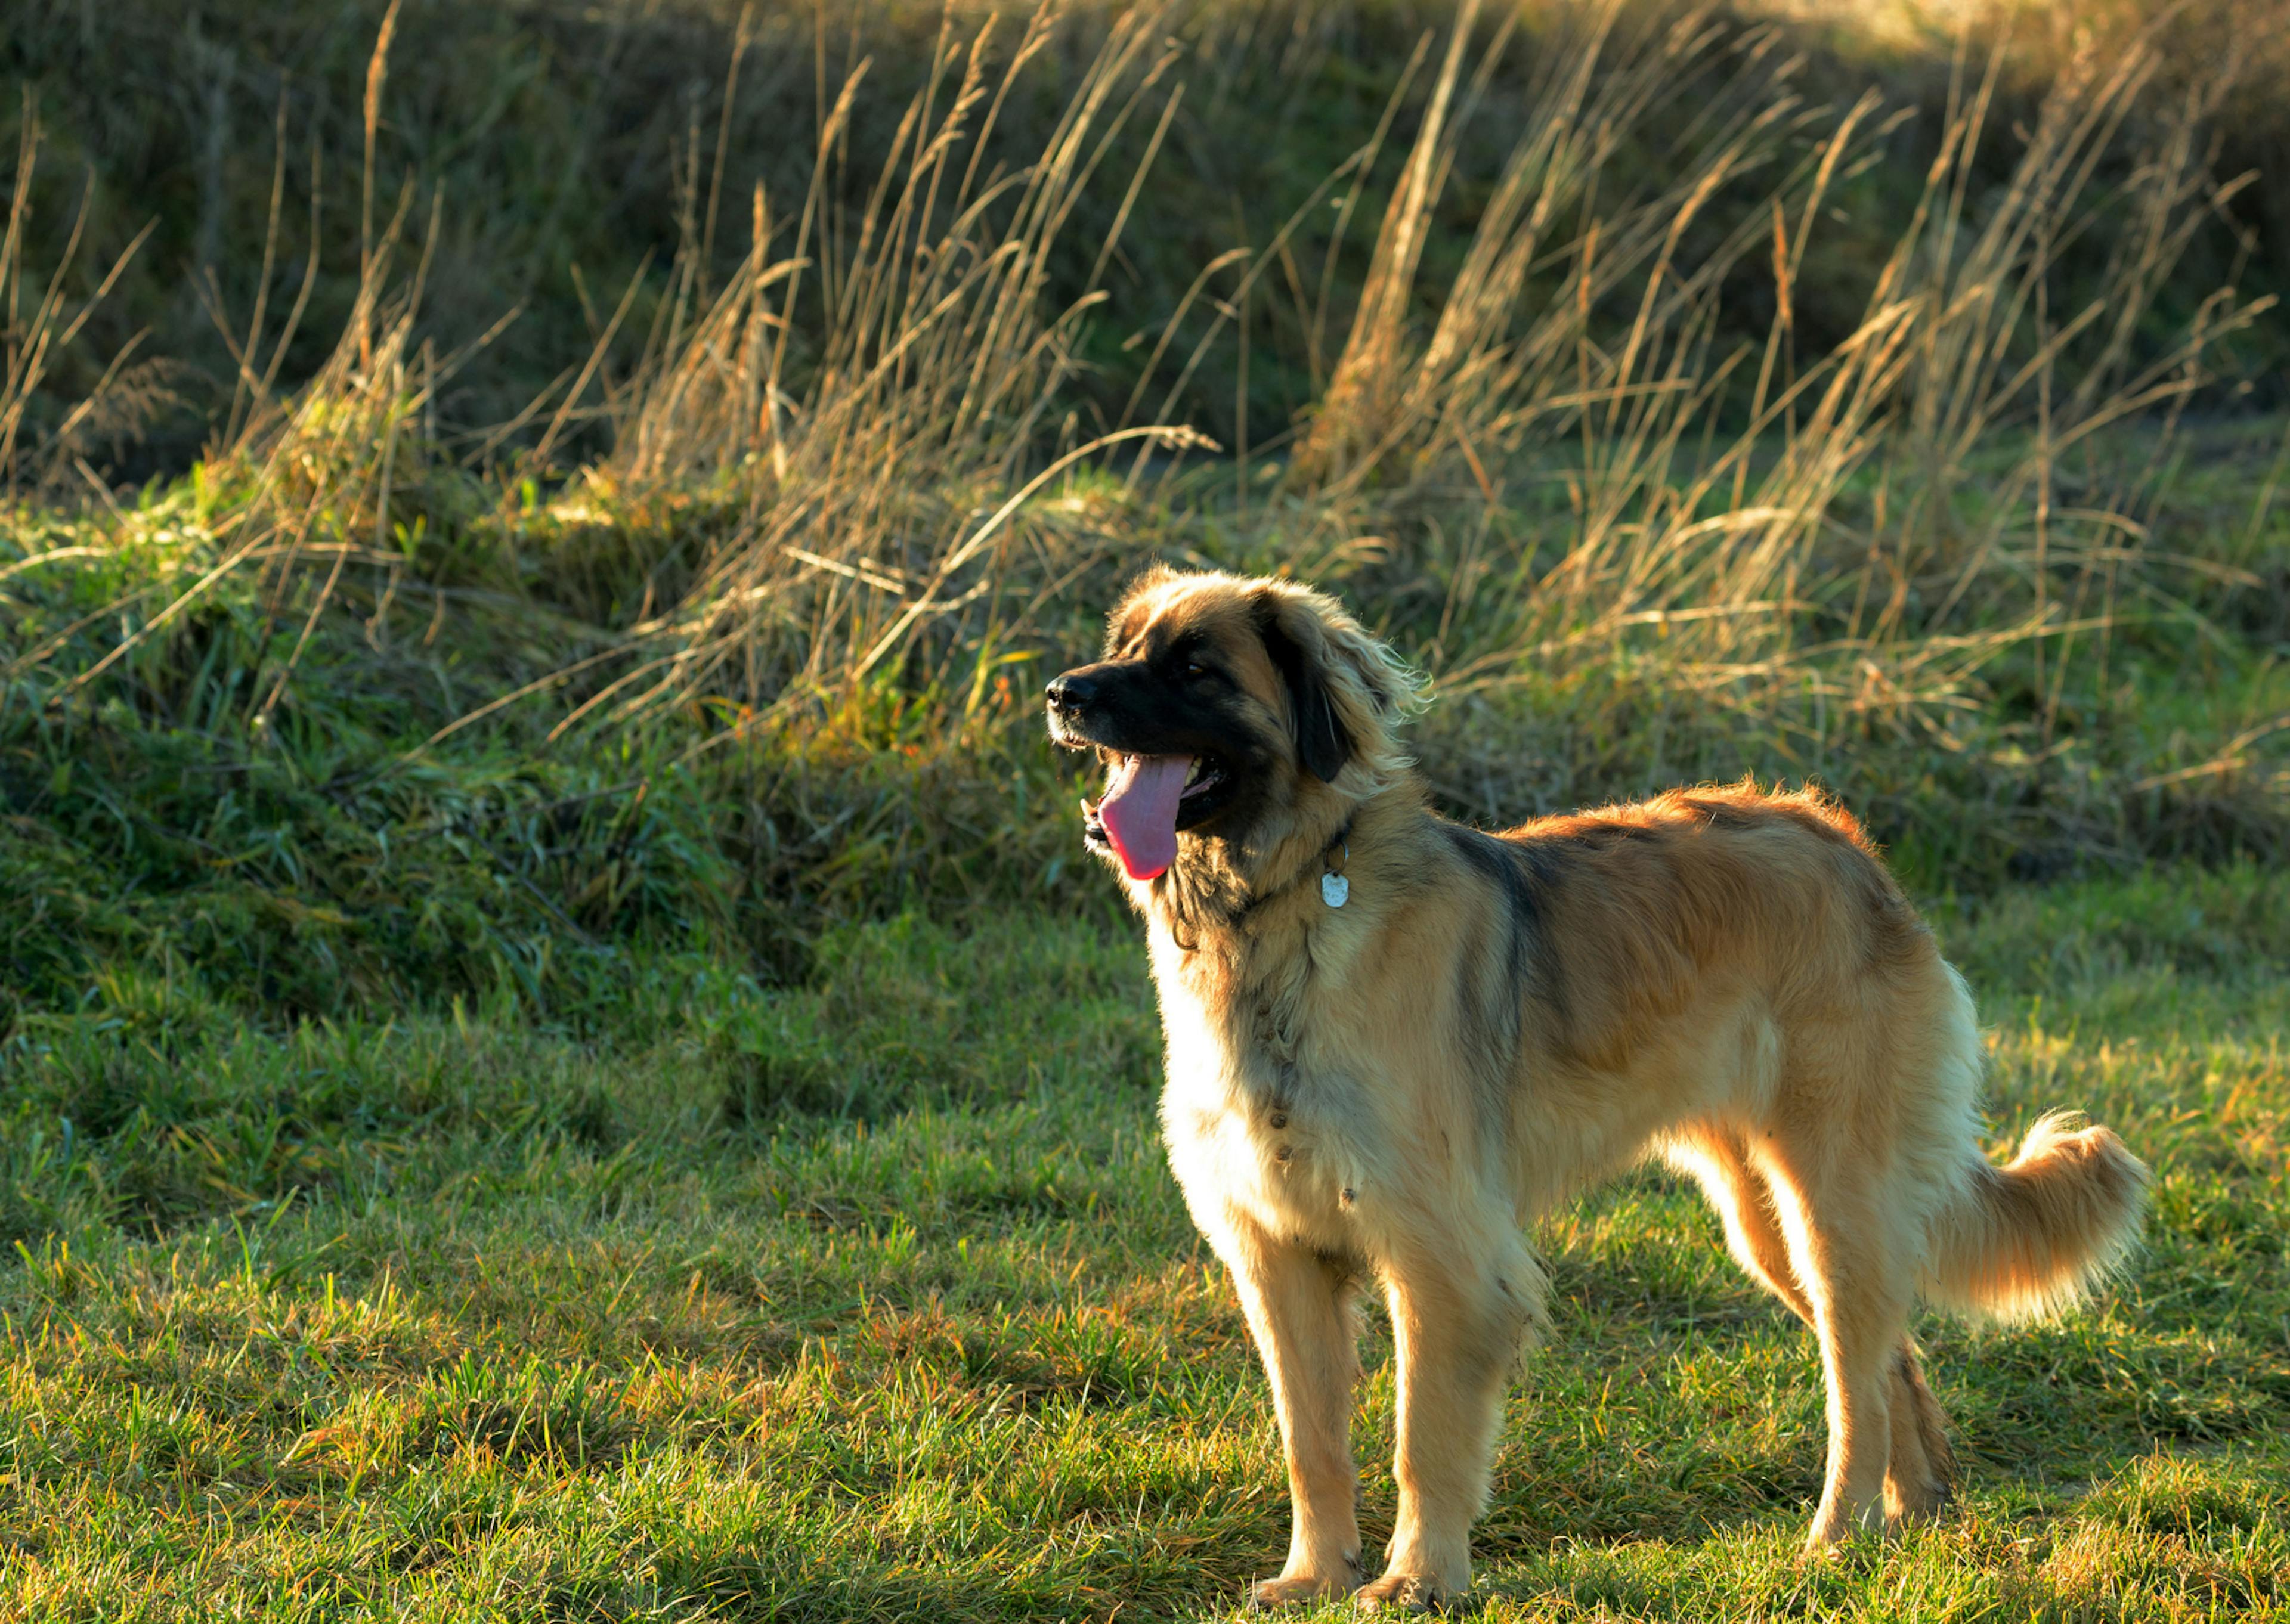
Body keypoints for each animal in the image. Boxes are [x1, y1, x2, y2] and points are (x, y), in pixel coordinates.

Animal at [1048, 563, 2152, 1603]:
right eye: (1126, 646)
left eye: (1196, 667)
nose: (1062, 692)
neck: (1278, 911)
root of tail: (1846, 844)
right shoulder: (1278, 1253)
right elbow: (1311, 1441)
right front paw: (1318, 1574)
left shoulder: (1443, 1255)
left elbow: (1422, 1440)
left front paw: (1417, 1580)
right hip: (1773, 1223)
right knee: (1892, 1357)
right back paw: (1915, 1513)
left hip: (1831, 1205)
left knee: (1858, 1384)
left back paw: (1836, 1539)